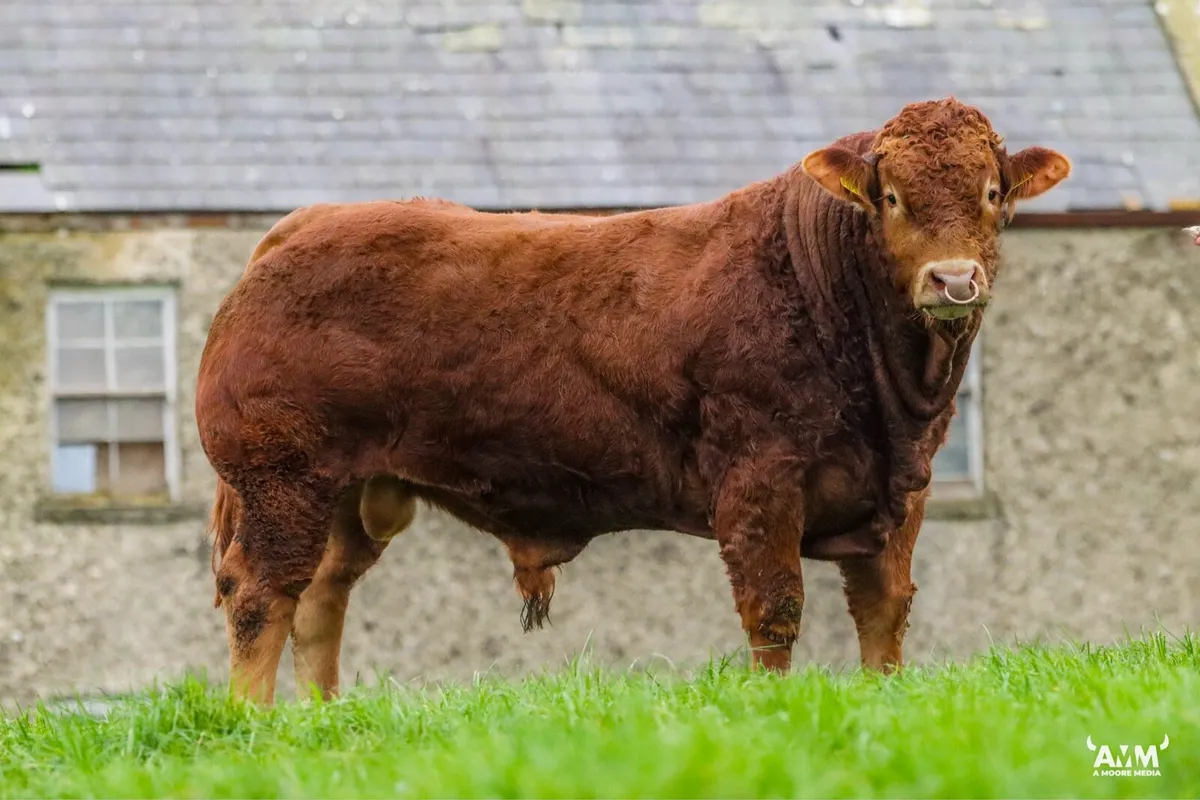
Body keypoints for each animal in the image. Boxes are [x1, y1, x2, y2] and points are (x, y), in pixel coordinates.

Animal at [196, 97, 1070, 704]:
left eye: (993, 193)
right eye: (890, 199)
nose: (953, 280)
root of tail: (304, 223)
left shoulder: (900, 495)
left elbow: (885, 612)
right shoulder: (759, 483)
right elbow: (775, 610)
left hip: (352, 491)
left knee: (320, 597)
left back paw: (322, 717)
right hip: (281, 477)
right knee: (260, 592)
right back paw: (252, 721)